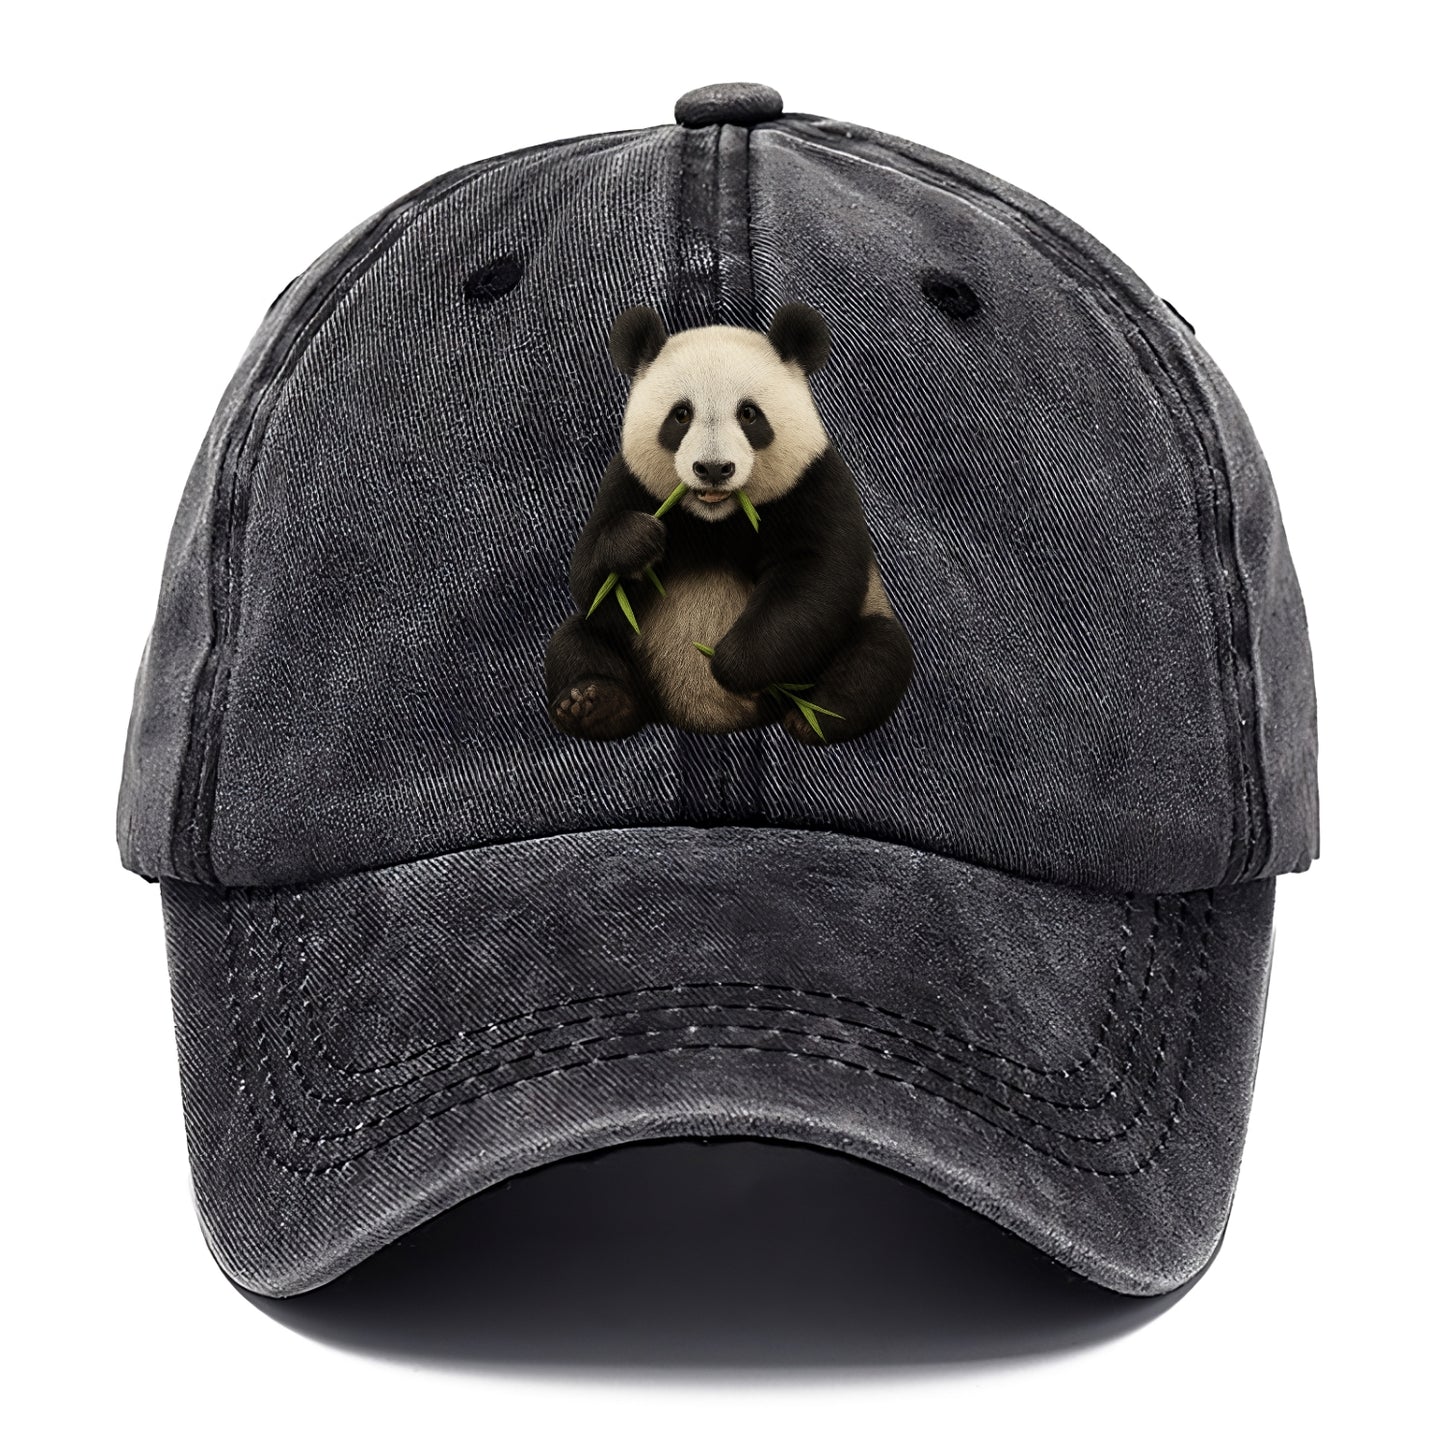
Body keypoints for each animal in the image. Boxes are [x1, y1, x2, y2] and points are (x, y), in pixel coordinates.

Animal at [544, 303, 914, 745]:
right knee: (575, 639)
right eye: (681, 414)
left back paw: (814, 717)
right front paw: (638, 541)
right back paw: (595, 705)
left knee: (877, 654)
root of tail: (714, 721)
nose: (714, 469)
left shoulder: (815, 483)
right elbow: (590, 580)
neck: (717, 520)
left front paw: (729, 664)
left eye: (749, 414)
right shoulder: (627, 481)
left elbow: (817, 576)